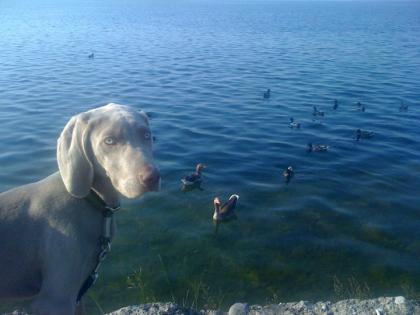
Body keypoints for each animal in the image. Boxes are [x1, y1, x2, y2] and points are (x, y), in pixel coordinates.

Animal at [0, 102, 160, 314]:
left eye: (147, 135)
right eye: (109, 141)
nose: (153, 177)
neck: (93, 202)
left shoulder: (78, 293)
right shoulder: (55, 299)